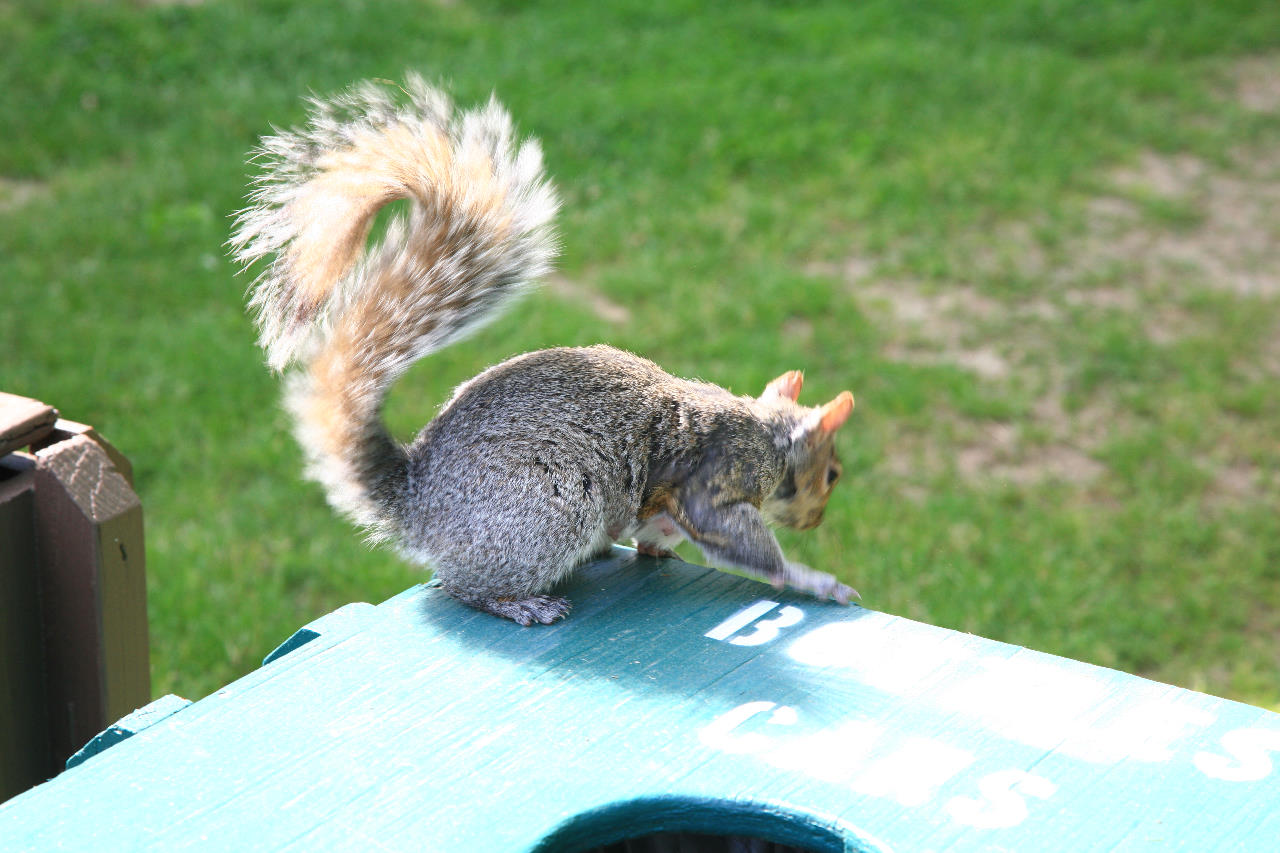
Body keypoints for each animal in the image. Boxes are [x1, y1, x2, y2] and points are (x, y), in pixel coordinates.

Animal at [230, 75, 858, 626]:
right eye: (831, 475)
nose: (816, 522)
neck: (770, 435)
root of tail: (417, 503)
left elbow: (658, 530)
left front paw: (656, 549)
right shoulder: (718, 478)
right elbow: (740, 541)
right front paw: (816, 580)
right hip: (547, 507)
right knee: (461, 587)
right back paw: (521, 604)